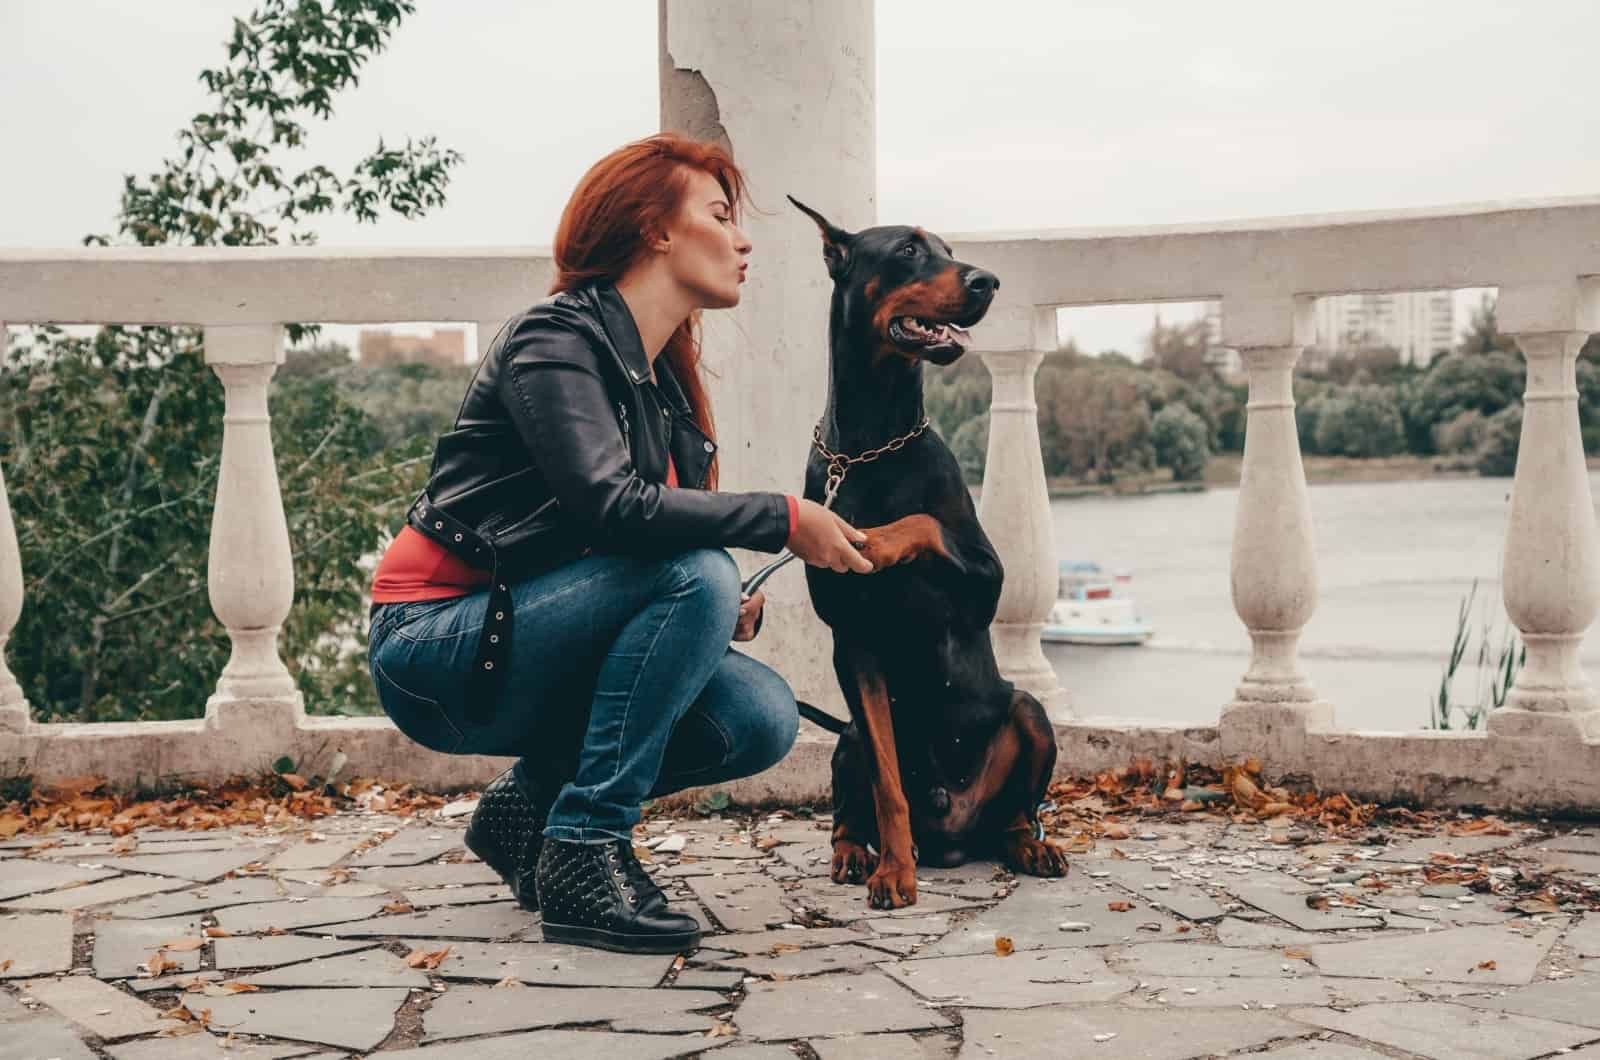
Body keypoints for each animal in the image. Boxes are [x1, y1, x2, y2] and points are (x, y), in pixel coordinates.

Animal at [784, 195, 1062, 909]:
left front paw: (874, 540)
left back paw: (1030, 845)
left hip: (1027, 712)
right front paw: (892, 872)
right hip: (848, 736)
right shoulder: (853, 643)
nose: (988, 282)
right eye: (908, 250)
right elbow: (887, 783)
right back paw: (857, 854)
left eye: (948, 248)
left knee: (1018, 810)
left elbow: (924, 524)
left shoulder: (985, 581)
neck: (869, 444)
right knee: (850, 806)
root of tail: (956, 837)